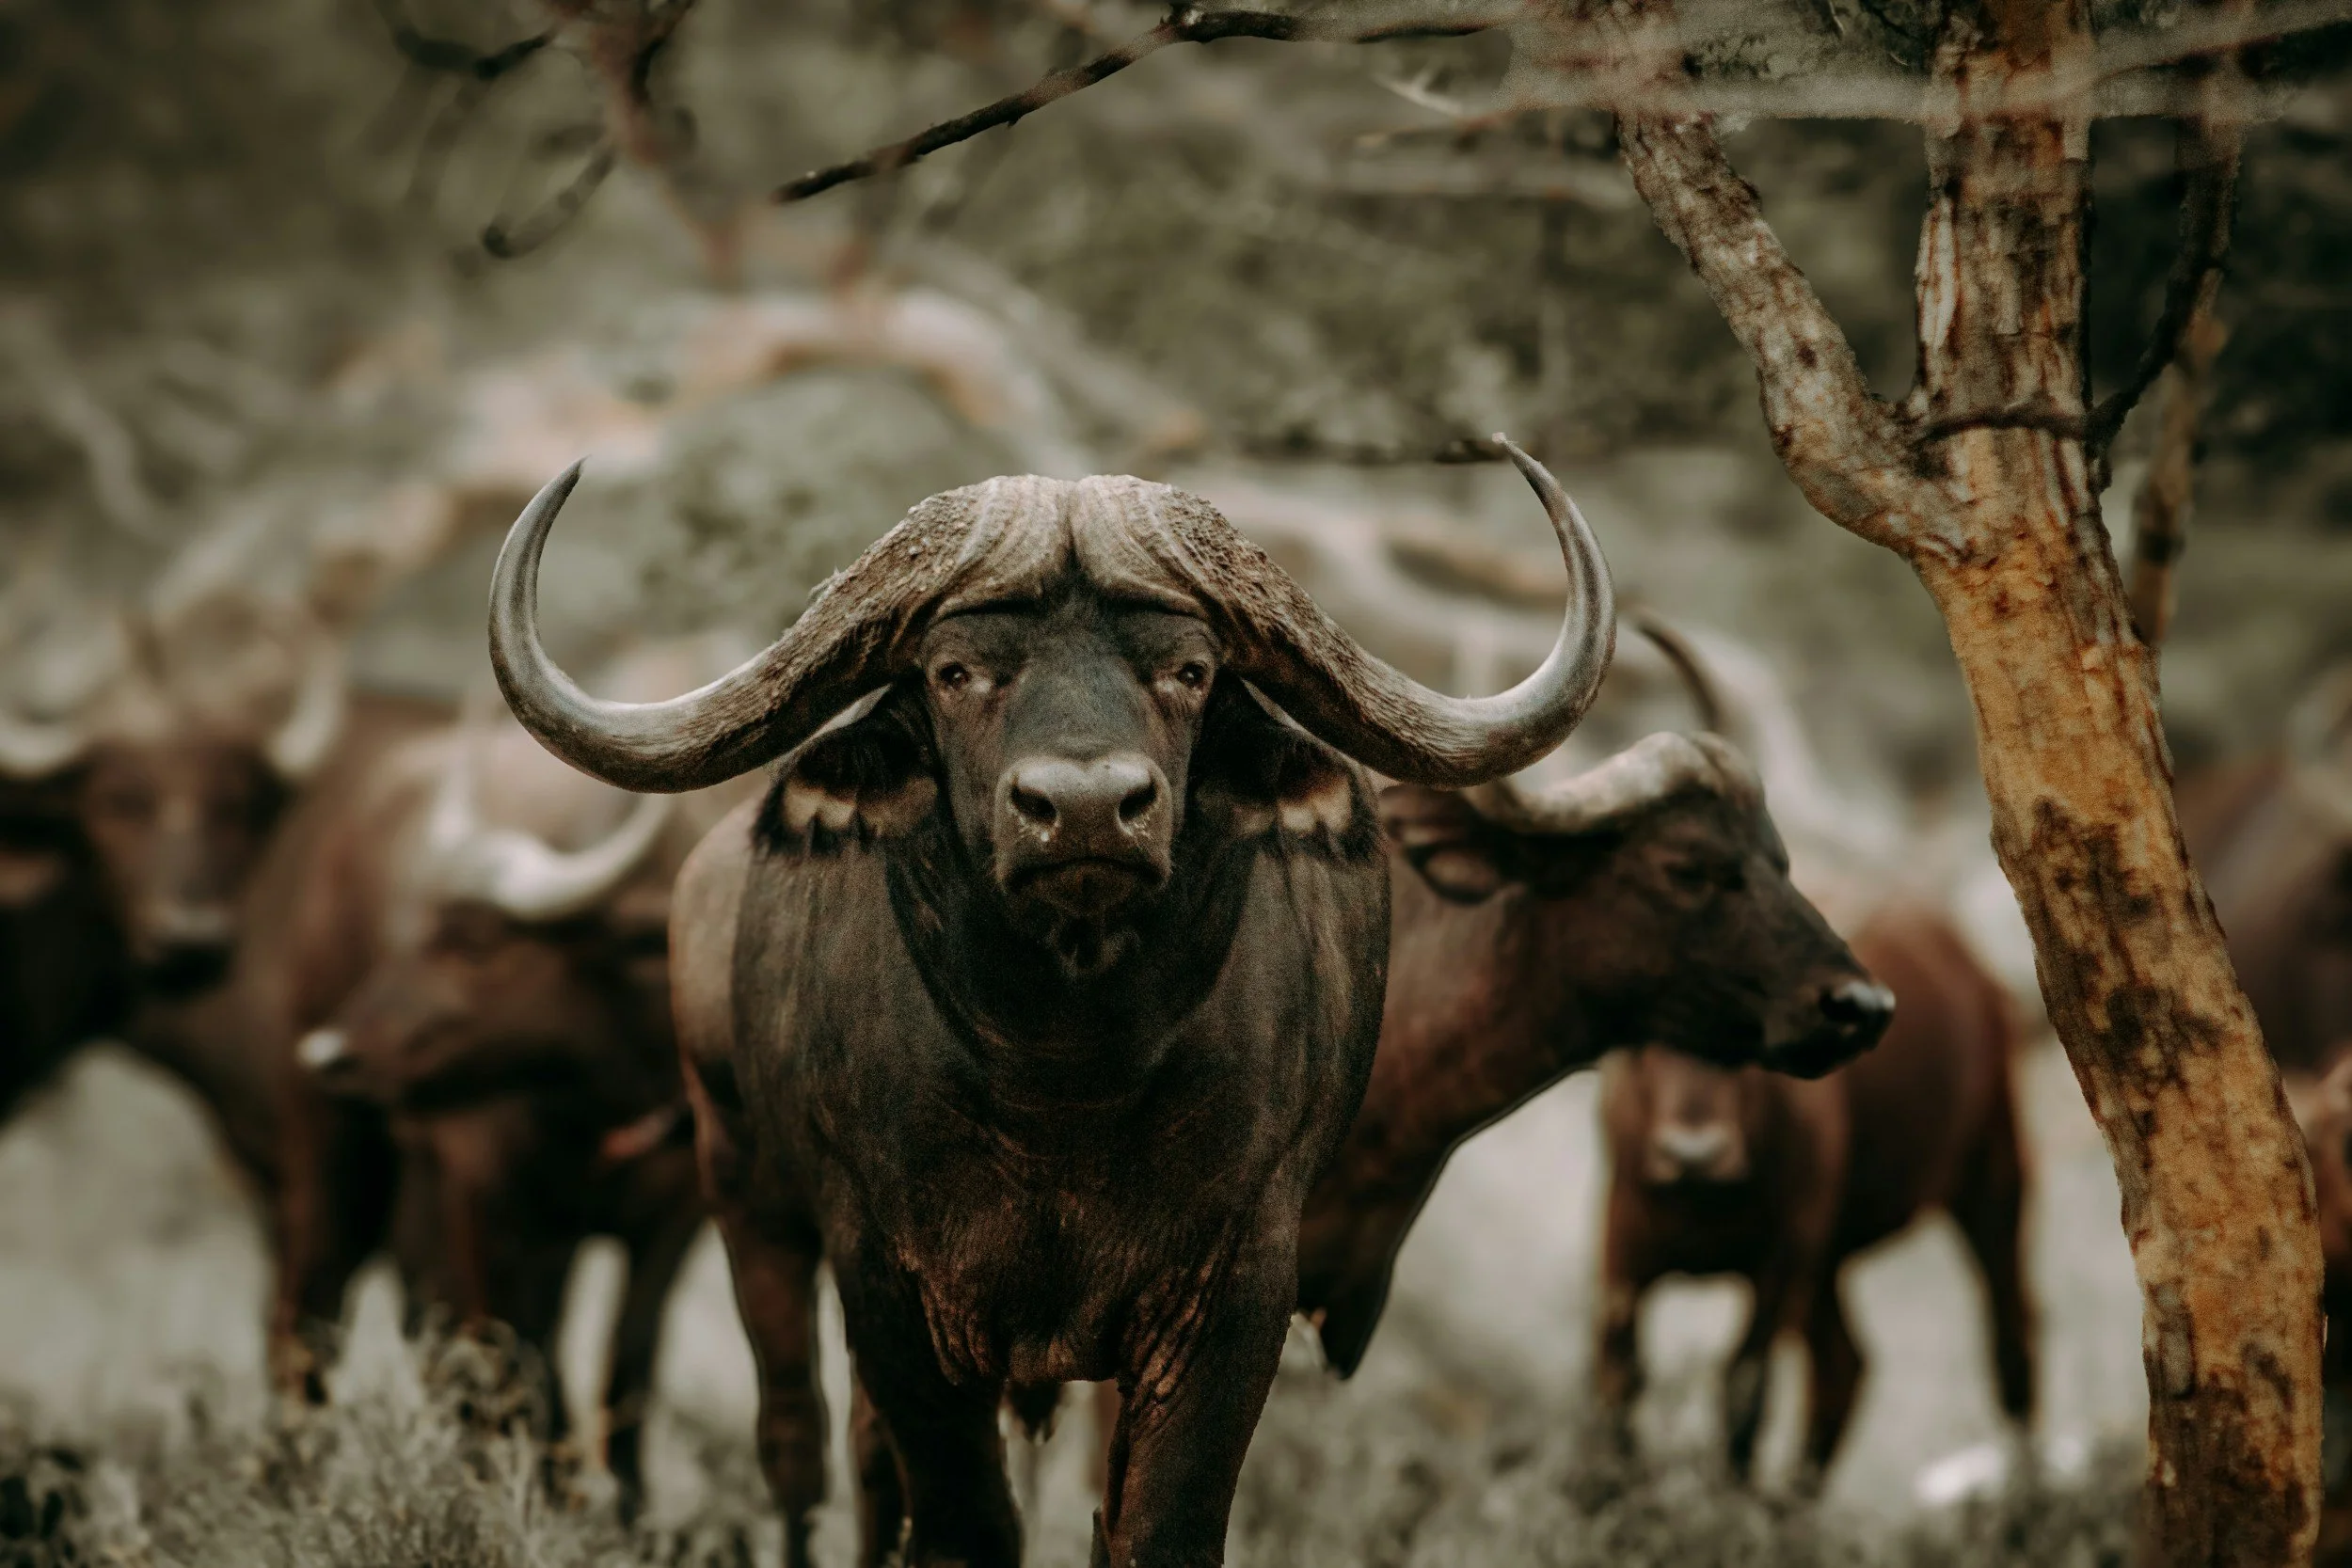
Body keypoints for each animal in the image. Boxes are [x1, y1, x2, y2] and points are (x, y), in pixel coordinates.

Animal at [488, 443, 1613, 1565]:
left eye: (1189, 670)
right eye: (956, 672)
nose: (1083, 811)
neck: (1063, 1078)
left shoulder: (1238, 1289)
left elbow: (1158, 1521)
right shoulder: (891, 1289)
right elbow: (966, 1515)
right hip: (744, 1197)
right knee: (801, 1445)